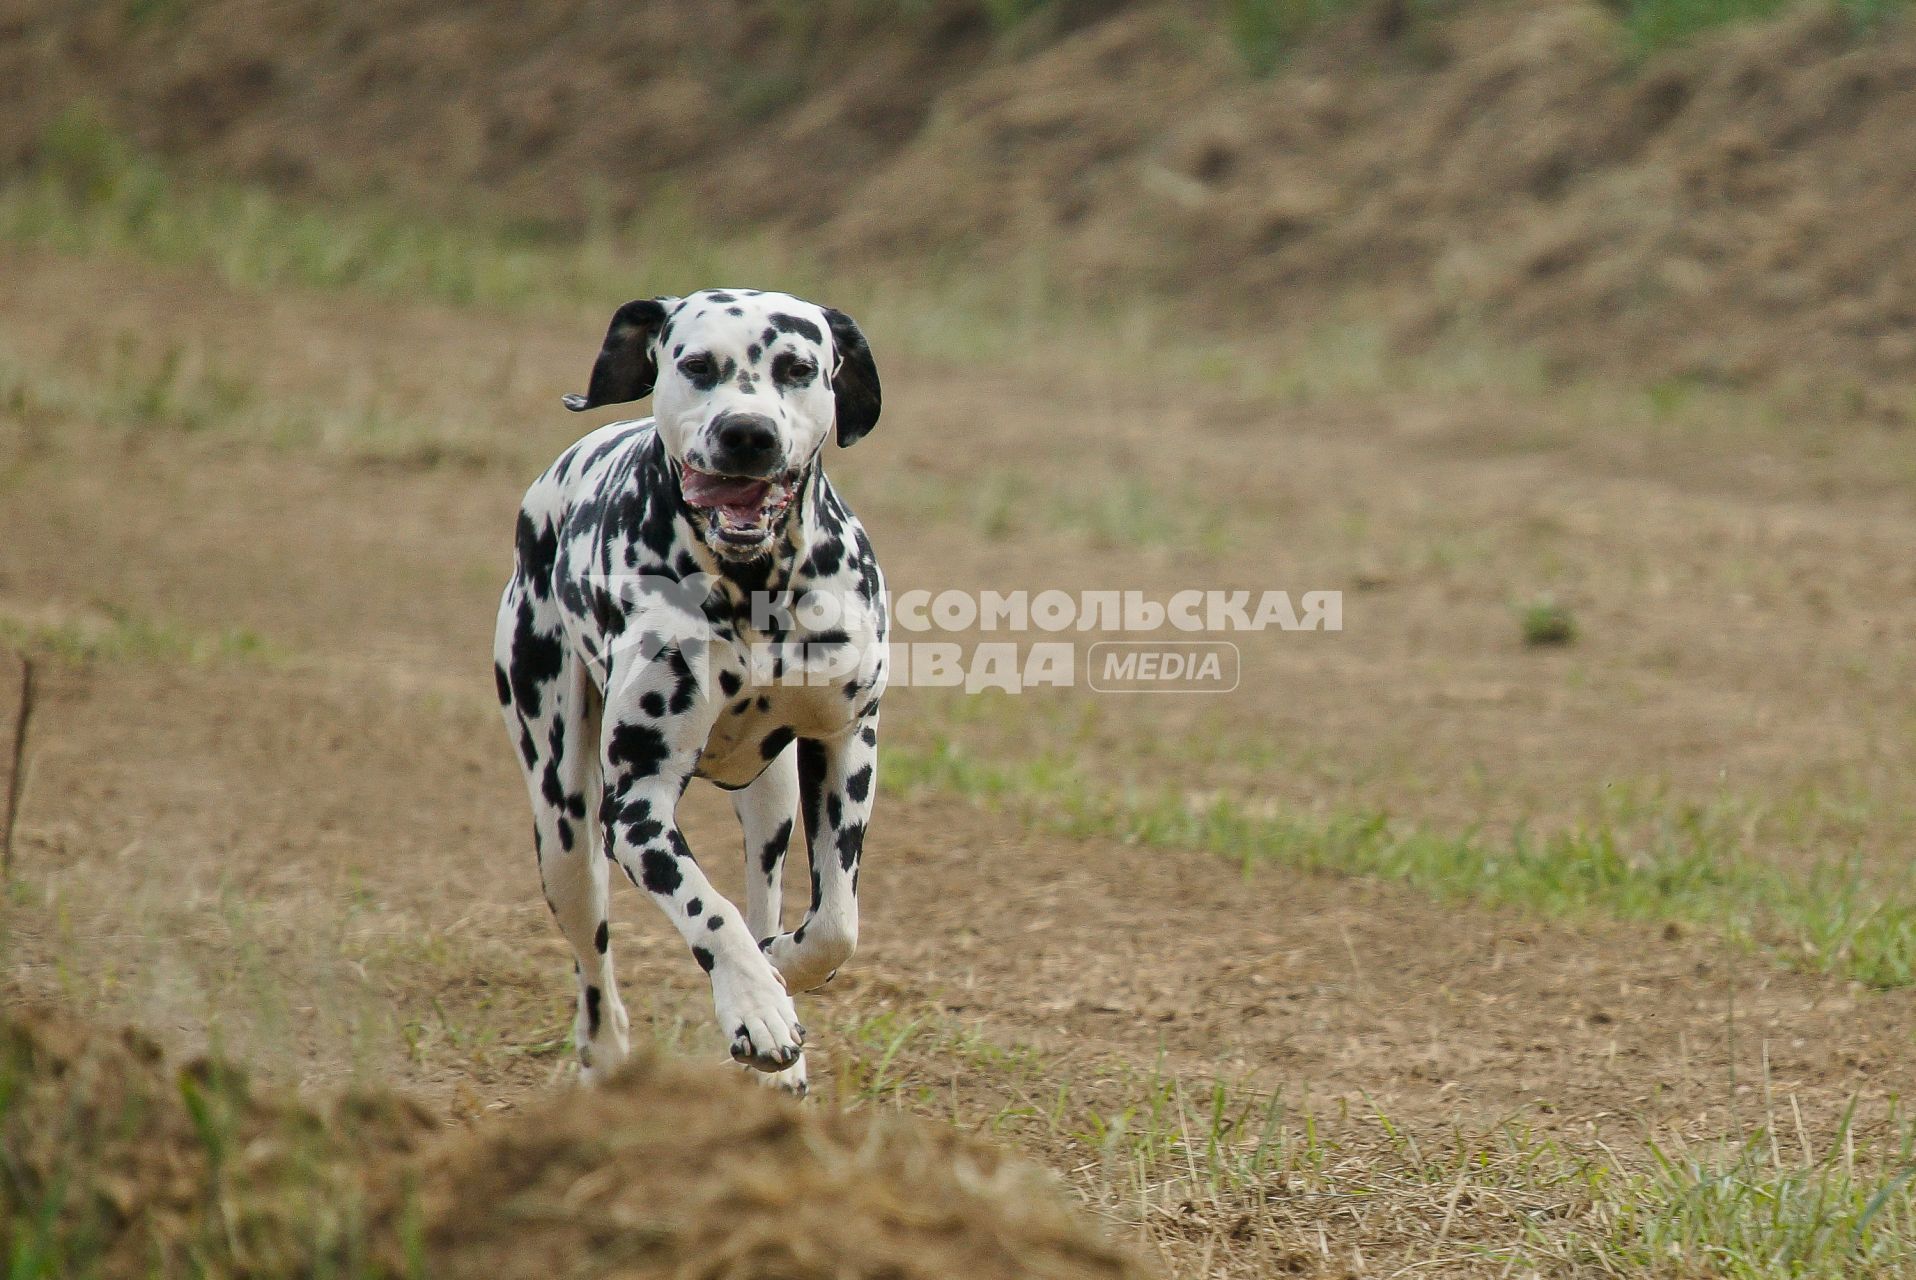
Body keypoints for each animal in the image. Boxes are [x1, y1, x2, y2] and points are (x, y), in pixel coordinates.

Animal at [494, 293, 881, 1103]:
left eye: (798, 367)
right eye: (698, 365)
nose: (748, 433)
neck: (753, 584)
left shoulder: (846, 744)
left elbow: (835, 922)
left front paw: (780, 975)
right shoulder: (636, 808)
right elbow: (711, 913)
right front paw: (757, 1006)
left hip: (773, 804)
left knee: (765, 889)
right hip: (566, 832)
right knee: (595, 963)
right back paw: (609, 1055)